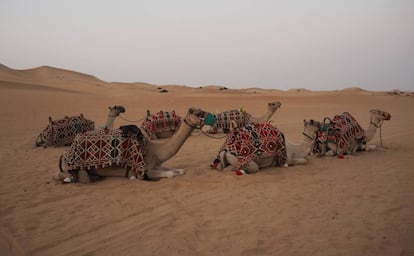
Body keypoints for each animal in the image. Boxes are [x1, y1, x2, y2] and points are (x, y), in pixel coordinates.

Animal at [55, 107, 213, 183]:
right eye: (197, 113)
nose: (211, 117)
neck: (156, 150)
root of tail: (65, 153)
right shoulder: (145, 170)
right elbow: (171, 174)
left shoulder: (156, 164)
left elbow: (179, 170)